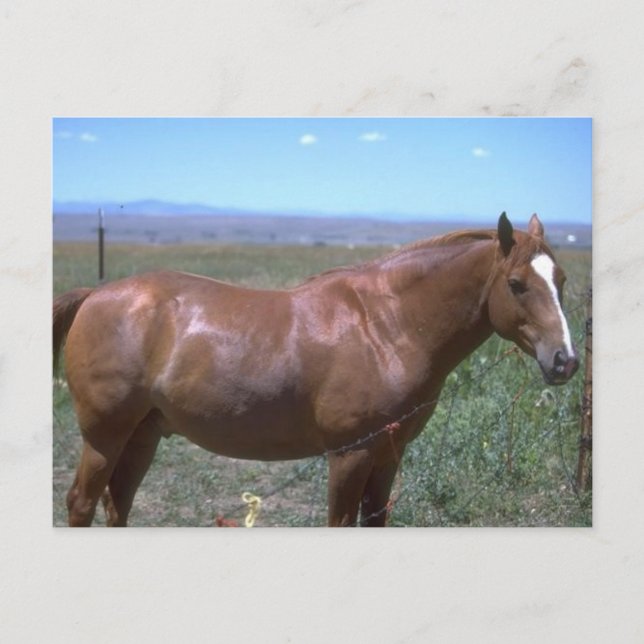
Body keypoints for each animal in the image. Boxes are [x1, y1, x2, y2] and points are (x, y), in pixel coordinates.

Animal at [53, 213, 579, 527]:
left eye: (562, 279)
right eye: (516, 284)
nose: (565, 360)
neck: (386, 325)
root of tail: (96, 295)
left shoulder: (387, 454)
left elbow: (374, 519)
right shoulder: (350, 455)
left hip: (142, 435)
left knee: (118, 503)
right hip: (105, 436)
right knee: (81, 503)